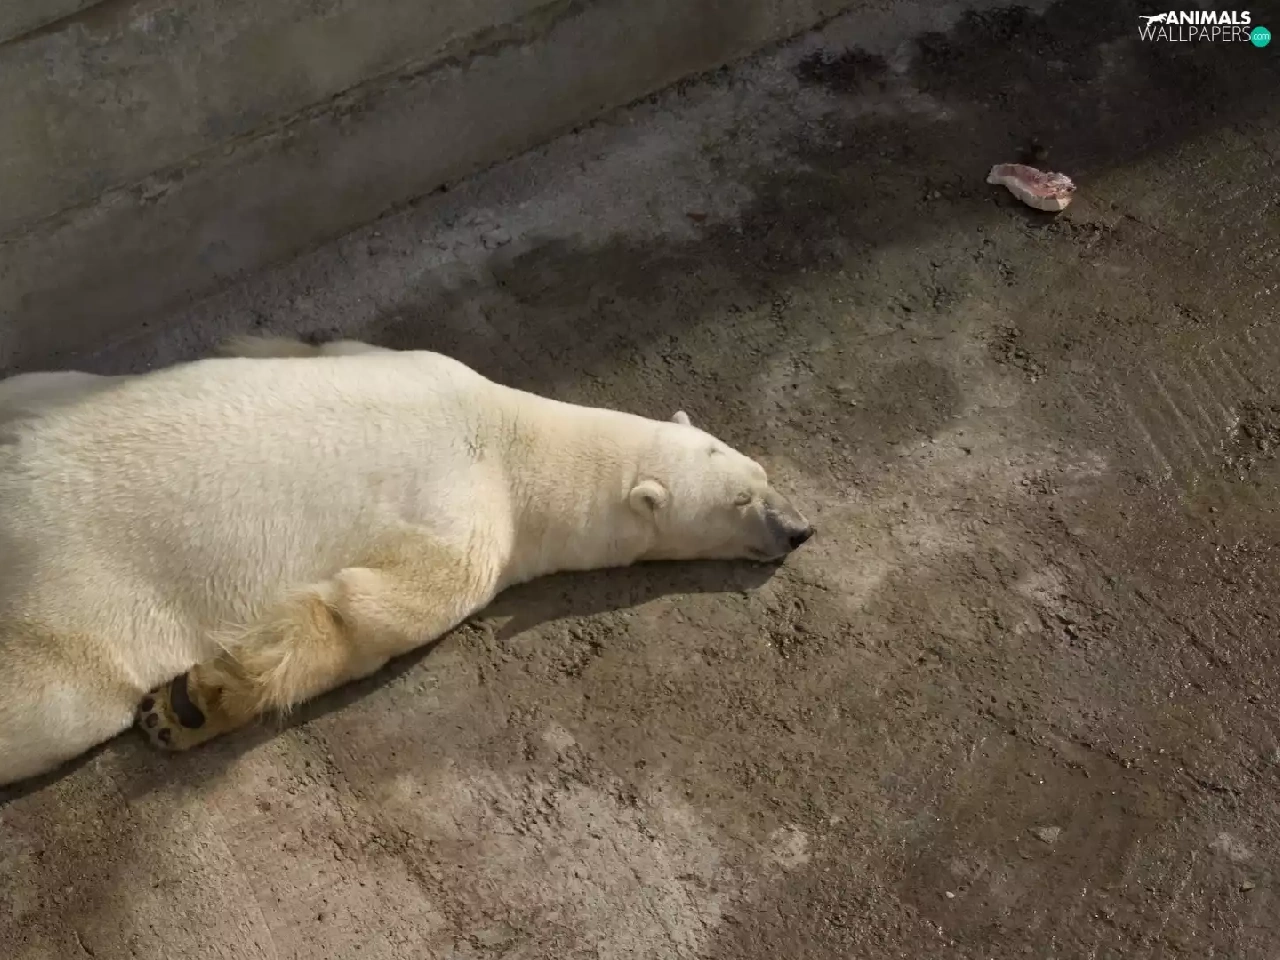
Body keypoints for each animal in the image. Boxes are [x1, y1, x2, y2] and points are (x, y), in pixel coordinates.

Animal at [0, 335, 813, 786]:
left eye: (761, 471)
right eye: (743, 501)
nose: (800, 528)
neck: (513, 435)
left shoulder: (415, 363)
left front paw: (186, 704)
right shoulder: (475, 520)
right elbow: (375, 609)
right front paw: (196, 701)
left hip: (34, 393)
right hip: (79, 602)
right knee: (48, 705)